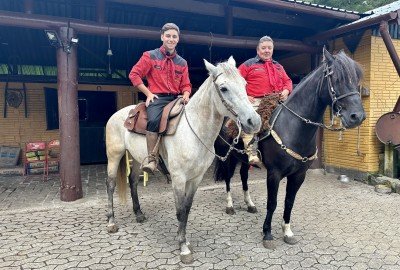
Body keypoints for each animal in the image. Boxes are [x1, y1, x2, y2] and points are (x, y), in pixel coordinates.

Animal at [104, 56, 260, 264]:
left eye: (244, 84)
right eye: (224, 88)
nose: (254, 121)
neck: (194, 131)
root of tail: (120, 114)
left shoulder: (195, 179)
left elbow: (186, 209)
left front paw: (184, 240)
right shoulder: (178, 179)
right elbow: (179, 210)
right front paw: (183, 248)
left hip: (137, 160)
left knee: (133, 182)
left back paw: (139, 214)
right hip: (114, 156)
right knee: (111, 184)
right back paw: (111, 222)